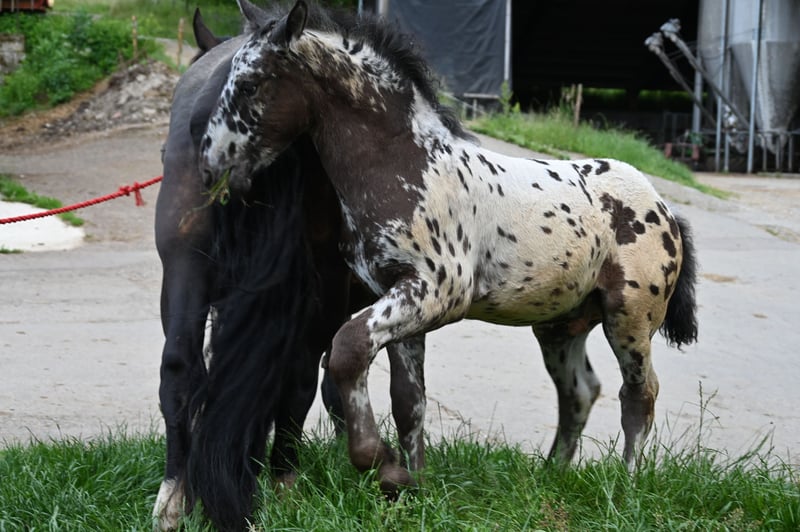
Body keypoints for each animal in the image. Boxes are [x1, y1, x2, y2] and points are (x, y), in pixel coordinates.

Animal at [199, 0, 699, 495]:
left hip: (629, 317)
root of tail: (665, 208)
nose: (209, 166)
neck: (407, 165)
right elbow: (408, 400)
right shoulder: (397, 294)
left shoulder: (437, 290)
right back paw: (551, 476)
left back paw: (626, 487)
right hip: (560, 325)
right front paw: (410, 485)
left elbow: (347, 350)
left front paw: (379, 462)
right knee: (579, 391)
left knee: (639, 393)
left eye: (249, 84)